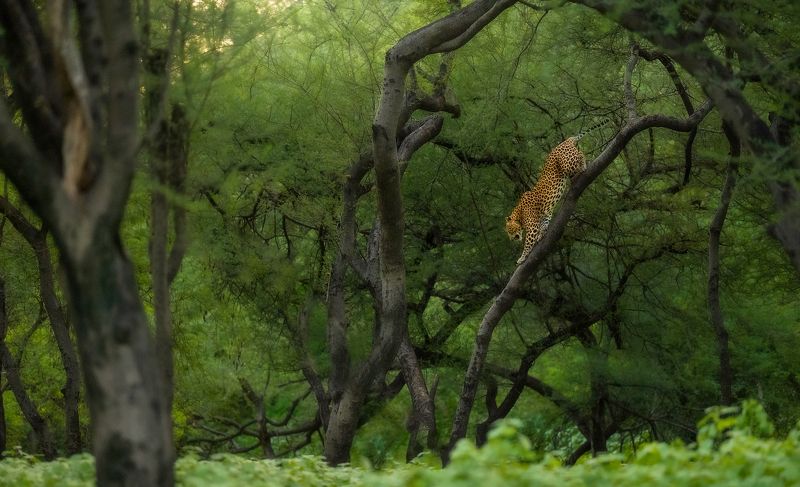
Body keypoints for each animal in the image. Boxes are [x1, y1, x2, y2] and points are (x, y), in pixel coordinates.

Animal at [506, 120, 609, 265]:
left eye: (509, 230)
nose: (511, 239)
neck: (519, 213)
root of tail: (565, 141)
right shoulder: (545, 214)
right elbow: (545, 224)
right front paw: (541, 235)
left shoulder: (531, 228)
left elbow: (528, 244)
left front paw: (521, 258)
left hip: (567, 163)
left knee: (581, 154)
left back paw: (583, 166)